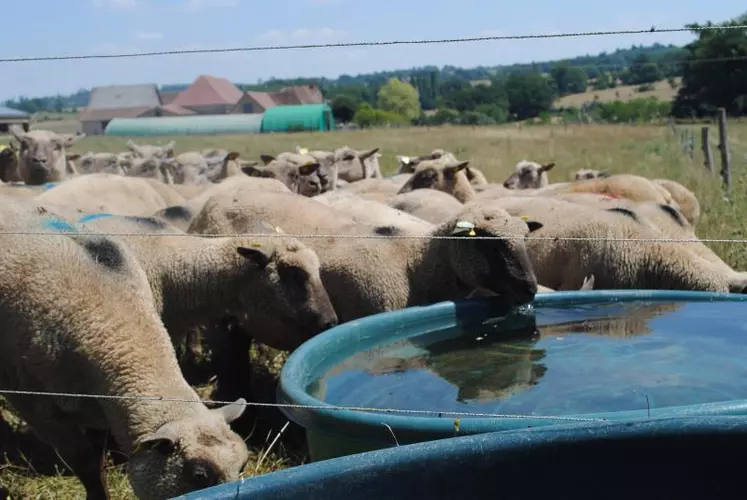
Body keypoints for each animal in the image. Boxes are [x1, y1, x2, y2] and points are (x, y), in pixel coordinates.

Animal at [0, 199, 251, 500]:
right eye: (199, 474)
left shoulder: (96, 407)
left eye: (243, 464)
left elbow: (98, 457)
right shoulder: (38, 407)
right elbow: (84, 462)